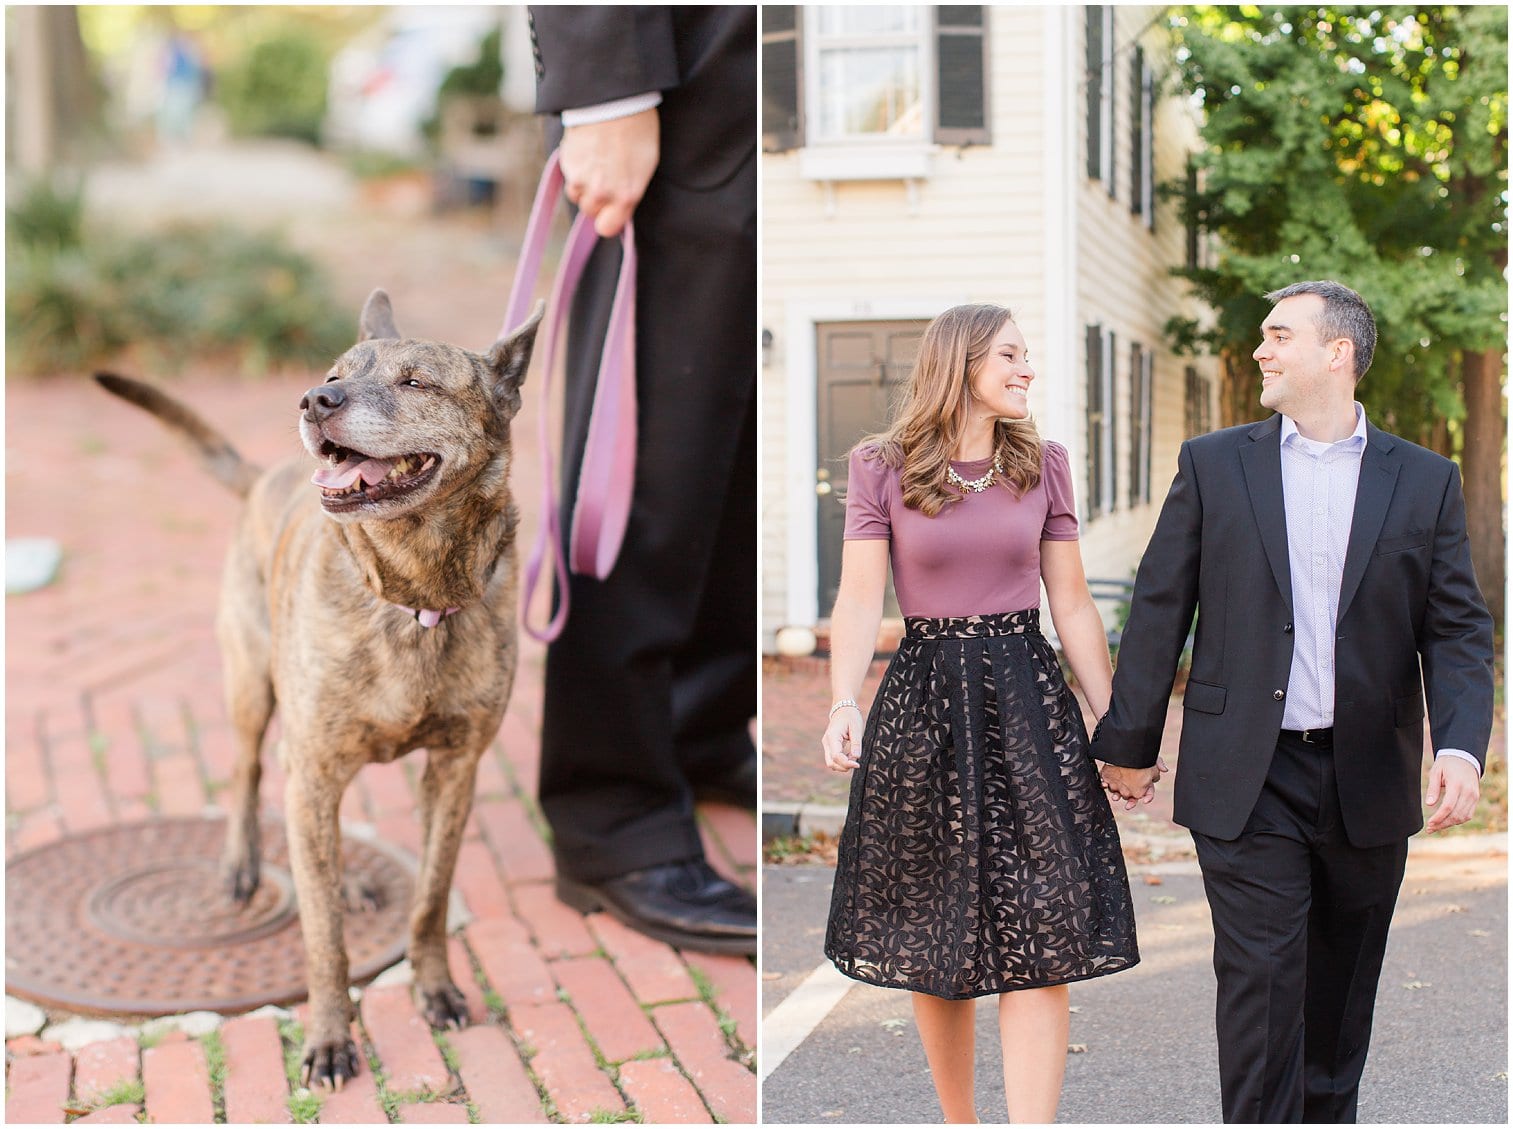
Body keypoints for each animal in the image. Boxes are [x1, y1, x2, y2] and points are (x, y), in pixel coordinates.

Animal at [96, 287, 544, 1083]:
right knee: (249, 774)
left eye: (416, 381)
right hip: (255, 690)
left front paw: (436, 988)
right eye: (335, 372)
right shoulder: (310, 766)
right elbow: (321, 935)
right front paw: (332, 1036)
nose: (315, 399)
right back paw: (243, 865)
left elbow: (429, 899)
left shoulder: (455, 770)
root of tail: (262, 476)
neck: (410, 592)